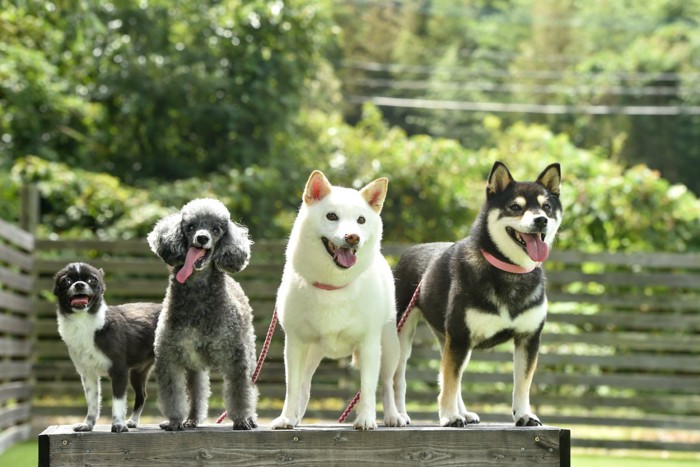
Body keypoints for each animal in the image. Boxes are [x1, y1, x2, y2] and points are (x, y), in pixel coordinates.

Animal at [53, 266, 161, 434]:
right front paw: (87, 425)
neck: (83, 322)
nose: (79, 284)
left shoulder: (119, 371)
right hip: (137, 373)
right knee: (142, 395)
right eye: (66, 281)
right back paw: (133, 421)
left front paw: (118, 424)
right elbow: (92, 403)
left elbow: (118, 402)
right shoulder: (88, 374)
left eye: (92, 280)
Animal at [394, 161, 564, 428]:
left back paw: (464, 412)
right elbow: (449, 383)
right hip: (403, 335)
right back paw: (398, 416)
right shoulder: (461, 336)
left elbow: (522, 385)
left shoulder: (528, 338)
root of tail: (407, 252)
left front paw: (524, 414)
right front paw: (449, 416)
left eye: (546, 207)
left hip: (449, 339)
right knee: (397, 379)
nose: (541, 220)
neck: (509, 271)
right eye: (515, 207)